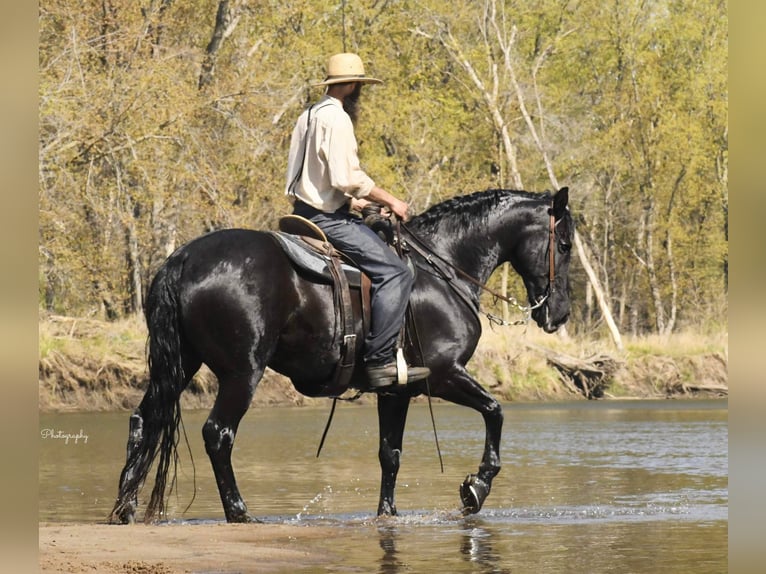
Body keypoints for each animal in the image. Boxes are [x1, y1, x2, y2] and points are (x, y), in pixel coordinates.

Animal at [111, 187, 572, 524]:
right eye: (565, 244)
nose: (560, 313)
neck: (441, 272)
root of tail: (184, 258)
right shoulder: (443, 375)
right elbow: (495, 411)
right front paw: (476, 488)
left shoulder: (396, 390)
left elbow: (390, 455)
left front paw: (387, 514)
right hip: (242, 373)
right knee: (218, 434)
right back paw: (239, 512)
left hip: (179, 367)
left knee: (143, 421)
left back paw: (125, 508)